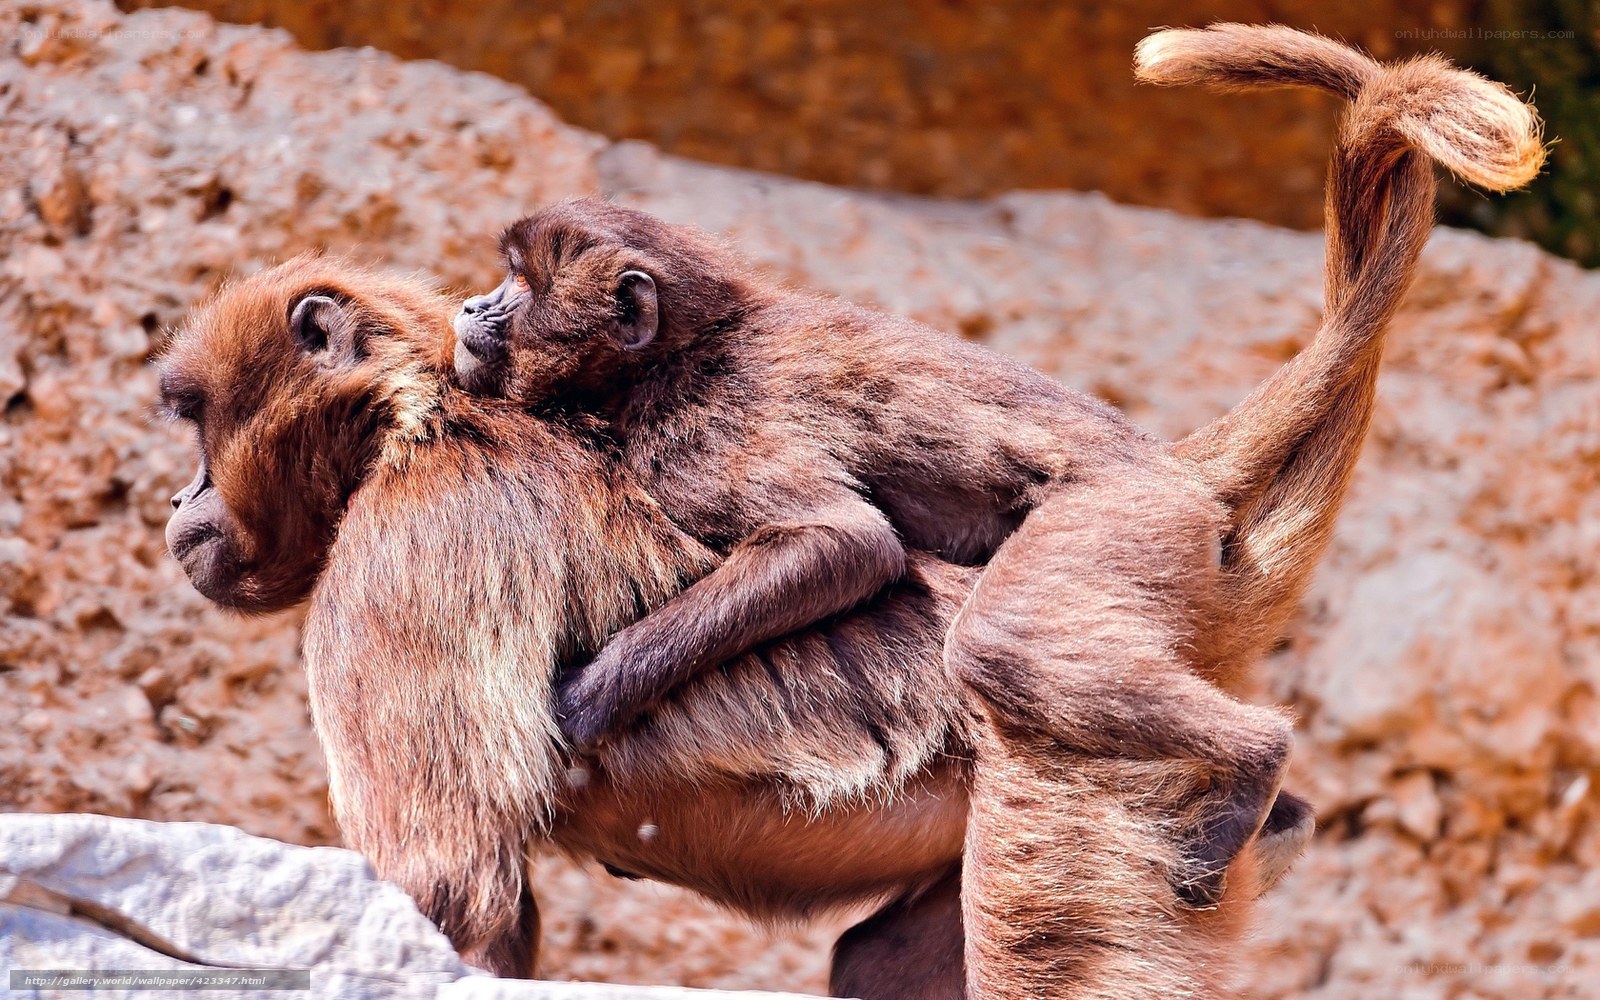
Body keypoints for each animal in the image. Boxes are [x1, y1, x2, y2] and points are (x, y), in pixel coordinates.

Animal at [159, 24, 1541, 1000]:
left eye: (191, 422)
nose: (179, 500)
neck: (424, 415)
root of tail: (1192, 501)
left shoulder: (413, 533)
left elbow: (444, 889)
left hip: (1100, 755)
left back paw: (1244, 752)